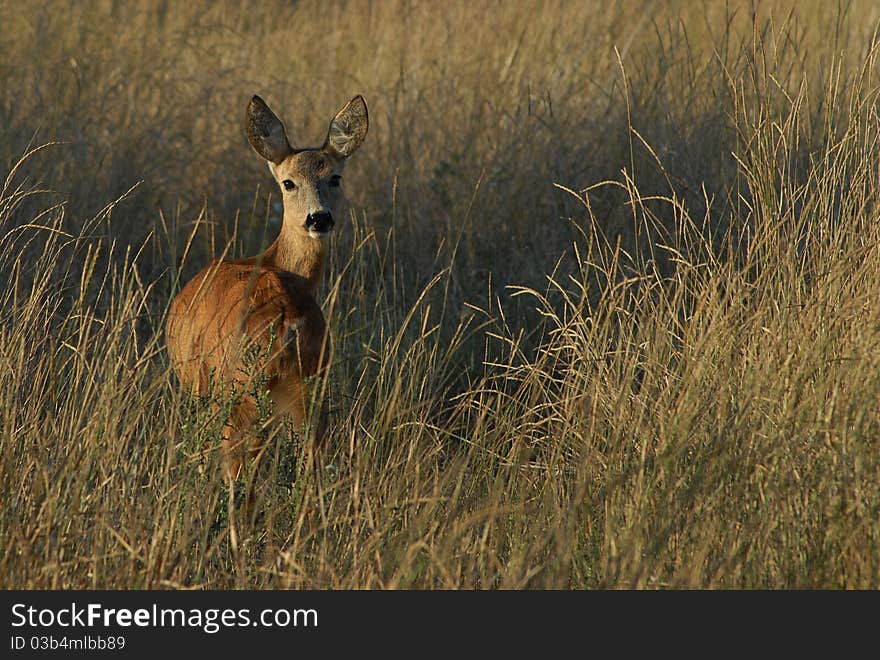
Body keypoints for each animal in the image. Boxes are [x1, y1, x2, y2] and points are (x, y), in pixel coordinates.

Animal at [165, 94, 368, 484]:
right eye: (289, 183)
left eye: (334, 177)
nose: (319, 218)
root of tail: (288, 320)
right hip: (310, 385)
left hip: (239, 389)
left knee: (239, 471)